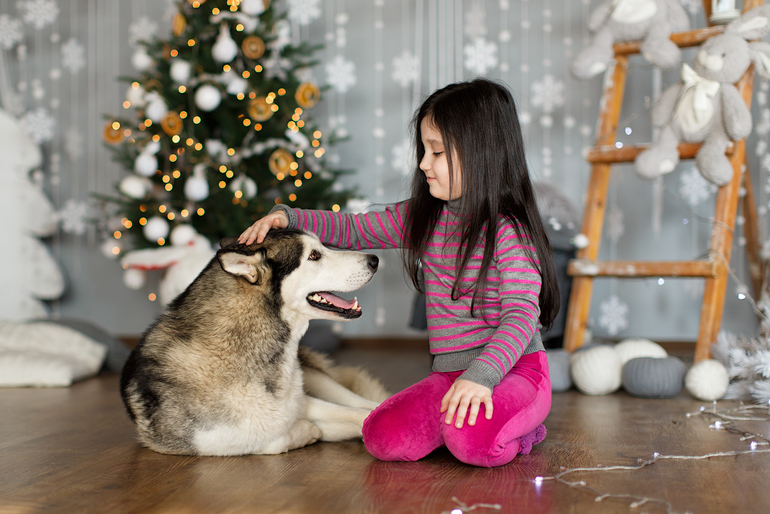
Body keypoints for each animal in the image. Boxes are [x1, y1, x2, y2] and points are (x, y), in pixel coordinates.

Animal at [121, 228, 390, 452]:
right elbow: (274, 440)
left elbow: (362, 414)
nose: (375, 260)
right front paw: (307, 431)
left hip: (316, 378)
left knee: (365, 401)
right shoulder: (211, 441)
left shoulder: (301, 401)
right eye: (314, 256)